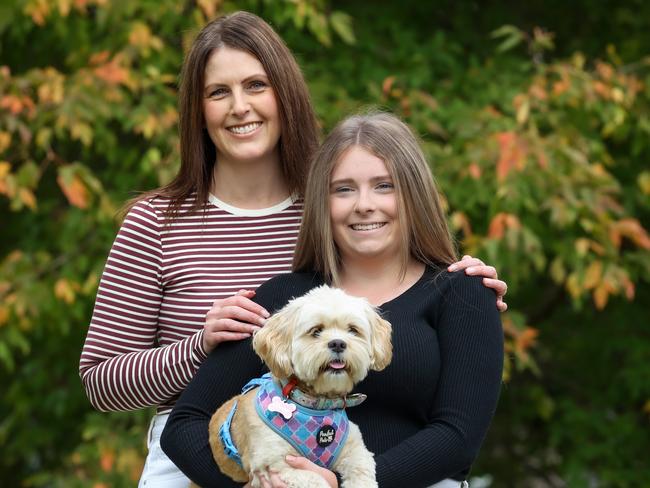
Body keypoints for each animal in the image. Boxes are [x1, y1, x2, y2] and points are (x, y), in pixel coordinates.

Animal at [205, 286, 392, 488]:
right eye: (316, 331)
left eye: (352, 330)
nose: (338, 343)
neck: (315, 404)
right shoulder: (275, 464)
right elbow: (315, 480)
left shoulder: (353, 448)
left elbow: (362, 469)